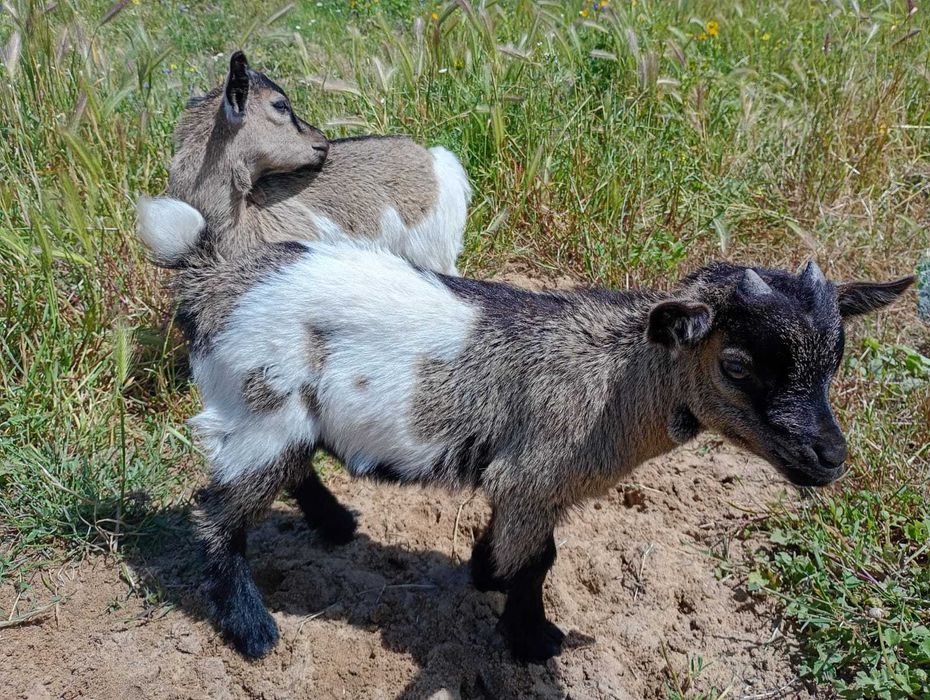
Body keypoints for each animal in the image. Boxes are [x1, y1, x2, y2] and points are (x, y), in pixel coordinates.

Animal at [137, 198, 913, 663]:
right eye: (739, 364)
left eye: (836, 359)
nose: (830, 457)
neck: (620, 380)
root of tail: (213, 278)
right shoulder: (537, 476)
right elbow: (538, 561)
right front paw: (532, 638)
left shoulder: (525, 485)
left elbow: (519, 549)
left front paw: (484, 572)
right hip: (257, 404)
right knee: (218, 512)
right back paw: (251, 628)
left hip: (280, 415)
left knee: (290, 469)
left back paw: (336, 525)